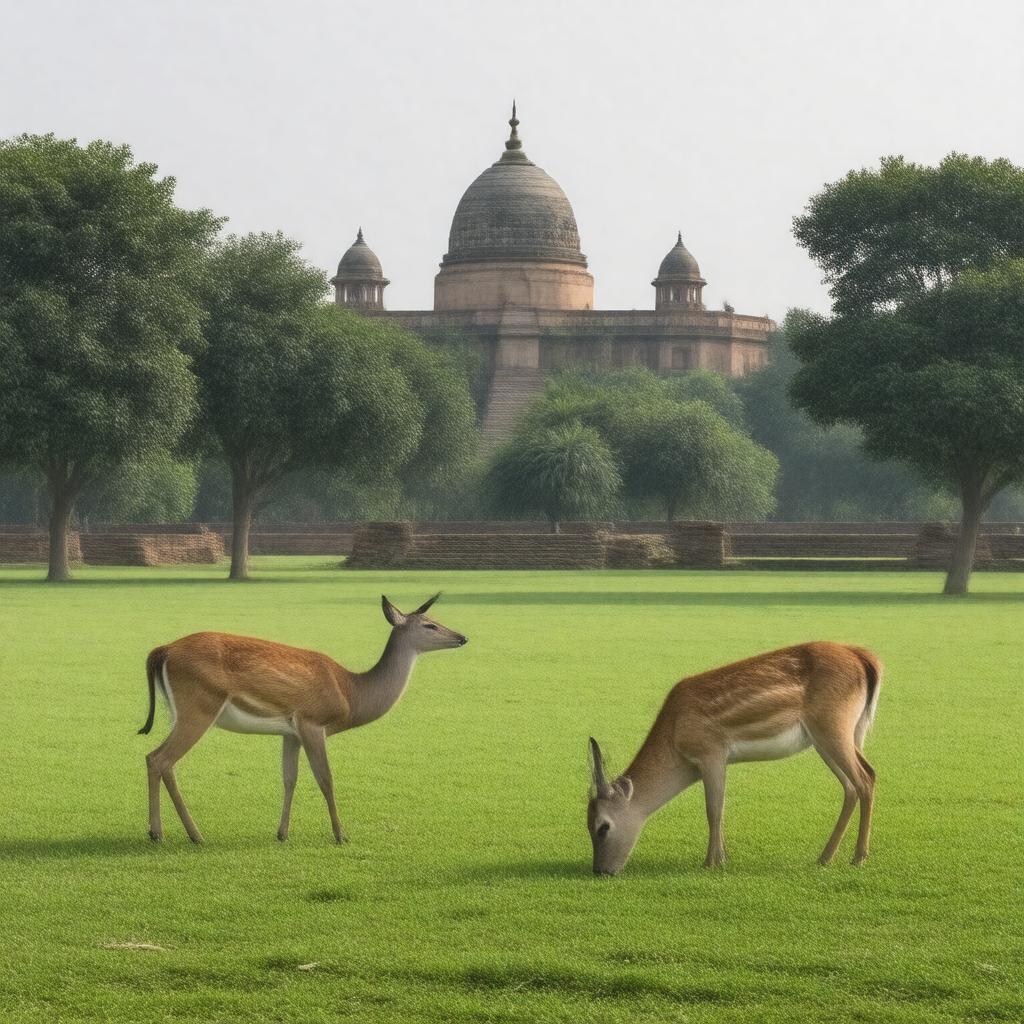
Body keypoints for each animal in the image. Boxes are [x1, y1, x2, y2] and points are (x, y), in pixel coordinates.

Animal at [138, 593, 466, 845]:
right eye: (430, 624)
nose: (462, 637)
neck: (351, 693)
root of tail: (161, 651)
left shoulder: (290, 733)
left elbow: (289, 778)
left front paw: (282, 833)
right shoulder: (313, 722)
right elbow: (325, 778)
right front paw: (341, 835)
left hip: (181, 712)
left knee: (154, 757)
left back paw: (163, 832)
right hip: (199, 706)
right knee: (162, 758)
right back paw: (186, 834)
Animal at [587, 641, 882, 875]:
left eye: (603, 827)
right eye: (587, 825)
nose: (601, 871)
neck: (675, 740)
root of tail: (867, 659)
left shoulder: (711, 751)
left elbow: (714, 808)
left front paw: (711, 862)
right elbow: (722, 806)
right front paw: (724, 858)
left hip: (832, 725)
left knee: (865, 777)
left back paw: (858, 857)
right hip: (846, 733)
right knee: (853, 784)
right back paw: (825, 857)